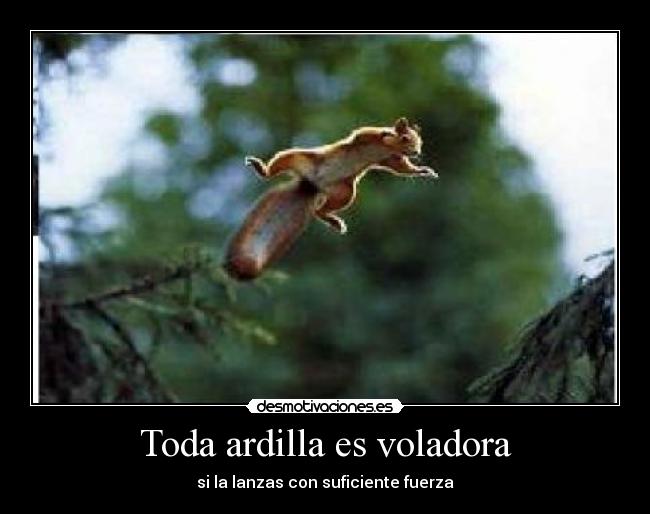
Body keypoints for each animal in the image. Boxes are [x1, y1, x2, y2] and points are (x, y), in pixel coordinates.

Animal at [224, 117, 438, 280]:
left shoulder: (392, 159)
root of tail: (313, 185)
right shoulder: (368, 138)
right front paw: (386, 134)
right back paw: (261, 168)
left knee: (320, 210)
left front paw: (422, 170)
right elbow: (362, 134)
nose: (416, 152)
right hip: (298, 158)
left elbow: (403, 168)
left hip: (345, 193)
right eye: (405, 137)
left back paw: (334, 221)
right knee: (273, 171)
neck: (386, 150)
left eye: (420, 142)